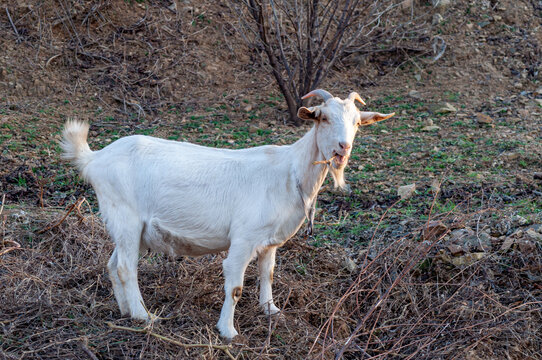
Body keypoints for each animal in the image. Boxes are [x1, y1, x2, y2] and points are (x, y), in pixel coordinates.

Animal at [62, 88, 396, 338]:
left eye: (357, 123)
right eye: (323, 118)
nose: (343, 147)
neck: (289, 173)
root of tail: (95, 158)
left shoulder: (269, 241)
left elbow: (268, 273)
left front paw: (271, 310)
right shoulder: (244, 238)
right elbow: (235, 287)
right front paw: (228, 331)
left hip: (131, 228)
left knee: (113, 263)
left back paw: (125, 310)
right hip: (126, 217)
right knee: (125, 267)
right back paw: (145, 317)